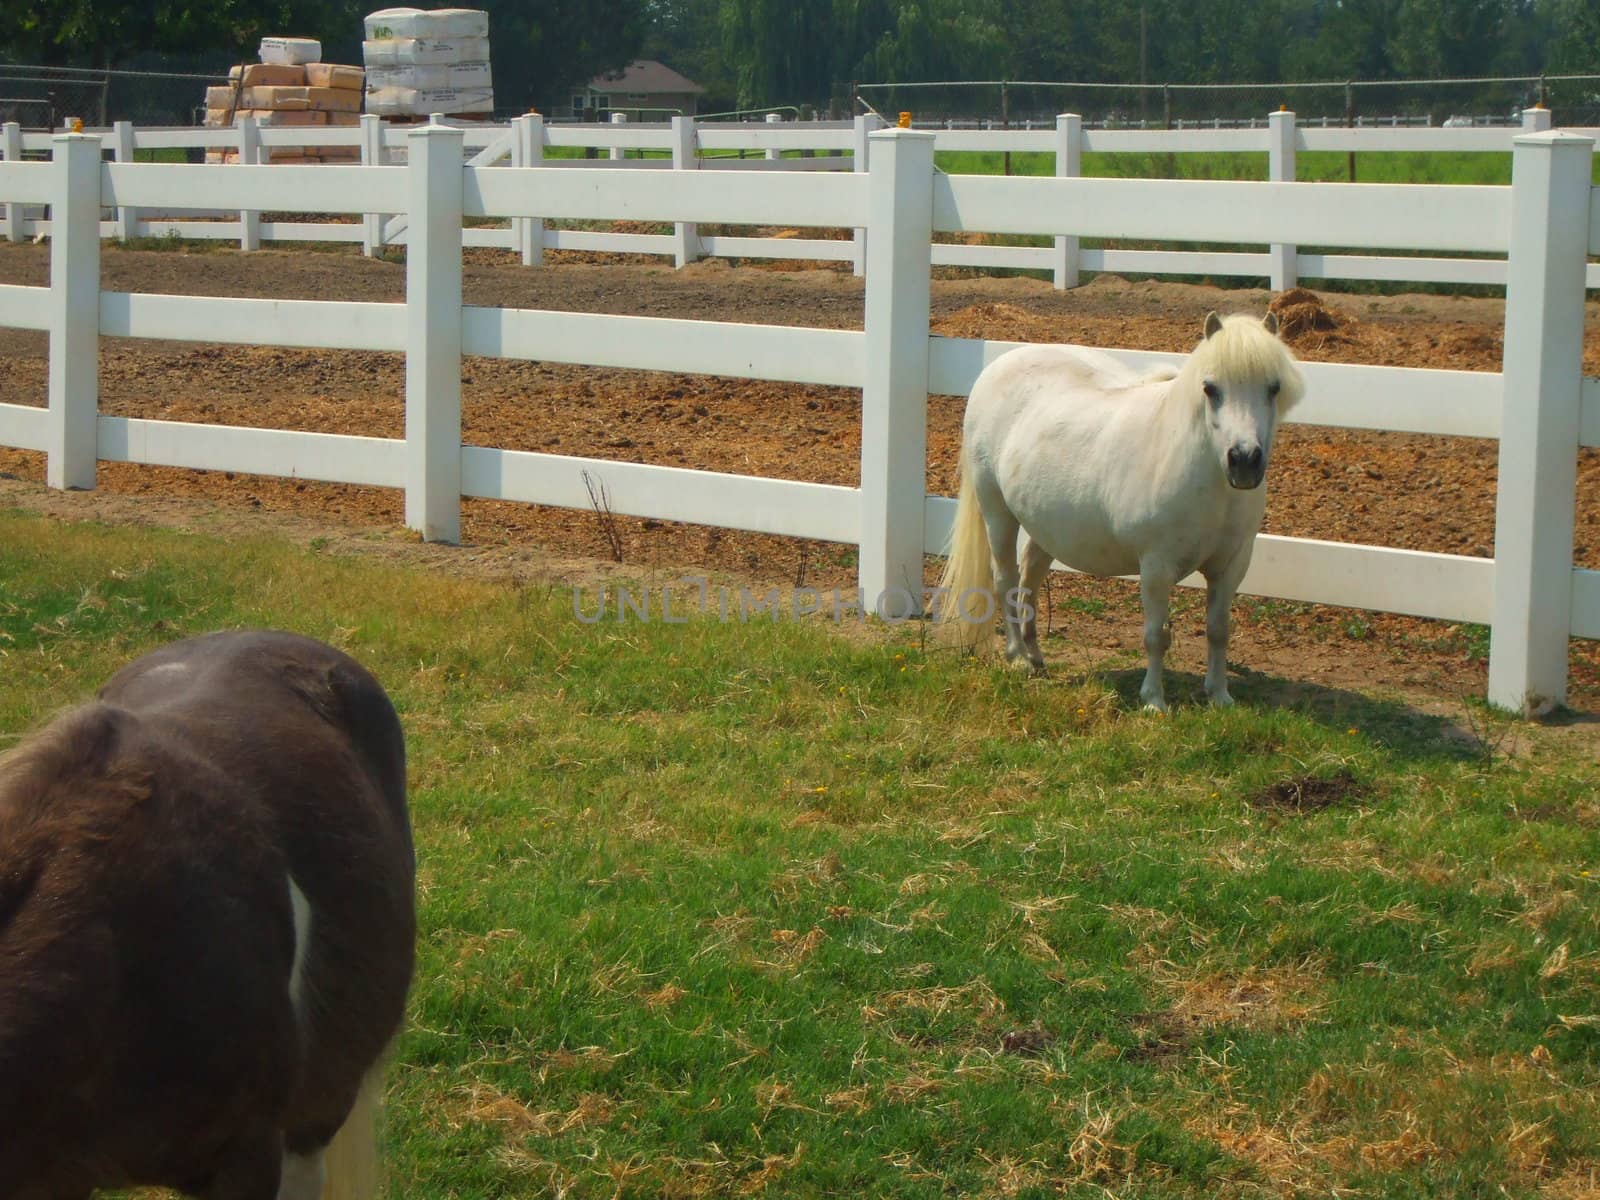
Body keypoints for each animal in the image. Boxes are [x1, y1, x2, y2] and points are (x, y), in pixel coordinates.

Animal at [934, 315, 1299, 713]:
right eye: (1210, 388)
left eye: (1274, 387)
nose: (1244, 461)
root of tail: (995, 368)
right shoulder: (1156, 566)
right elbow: (1156, 635)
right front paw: (1154, 701)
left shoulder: (1231, 566)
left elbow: (1219, 631)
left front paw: (1219, 696)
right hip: (997, 511)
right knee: (1005, 580)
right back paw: (1017, 659)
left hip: (1045, 525)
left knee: (1030, 577)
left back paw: (1036, 657)